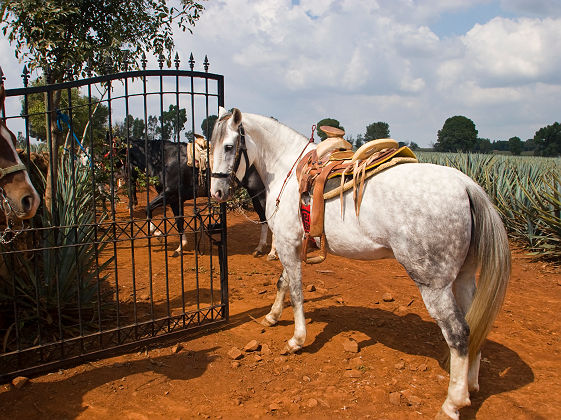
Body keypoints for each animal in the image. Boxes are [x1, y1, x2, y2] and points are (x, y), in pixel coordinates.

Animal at [208, 106, 510, 418]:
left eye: (228, 146)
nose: (216, 192)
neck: (287, 169)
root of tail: (467, 186)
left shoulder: (288, 244)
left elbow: (296, 291)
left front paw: (297, 339)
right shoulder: (289, 241)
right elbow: (283, 282)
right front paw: (272, 316)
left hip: (434, 285)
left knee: (458, 333)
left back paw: (452, 403)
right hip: (463, 279)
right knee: (474, 325)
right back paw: (471, 385)